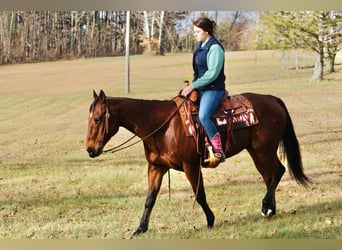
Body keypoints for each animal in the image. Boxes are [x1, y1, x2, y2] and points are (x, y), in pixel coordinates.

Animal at [85, 89, 310, 236]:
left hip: (264, 150)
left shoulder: (190, 166)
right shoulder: (156, 167)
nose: (90, 149)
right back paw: (270, 210)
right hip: (256, 152)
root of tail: (273, 99)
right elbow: (150, 199)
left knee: (278, 171)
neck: (162, 127)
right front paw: (140, 228)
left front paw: (210, 221)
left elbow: (199, 194)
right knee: (269, 176)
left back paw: (265, 207)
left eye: (98, 118)